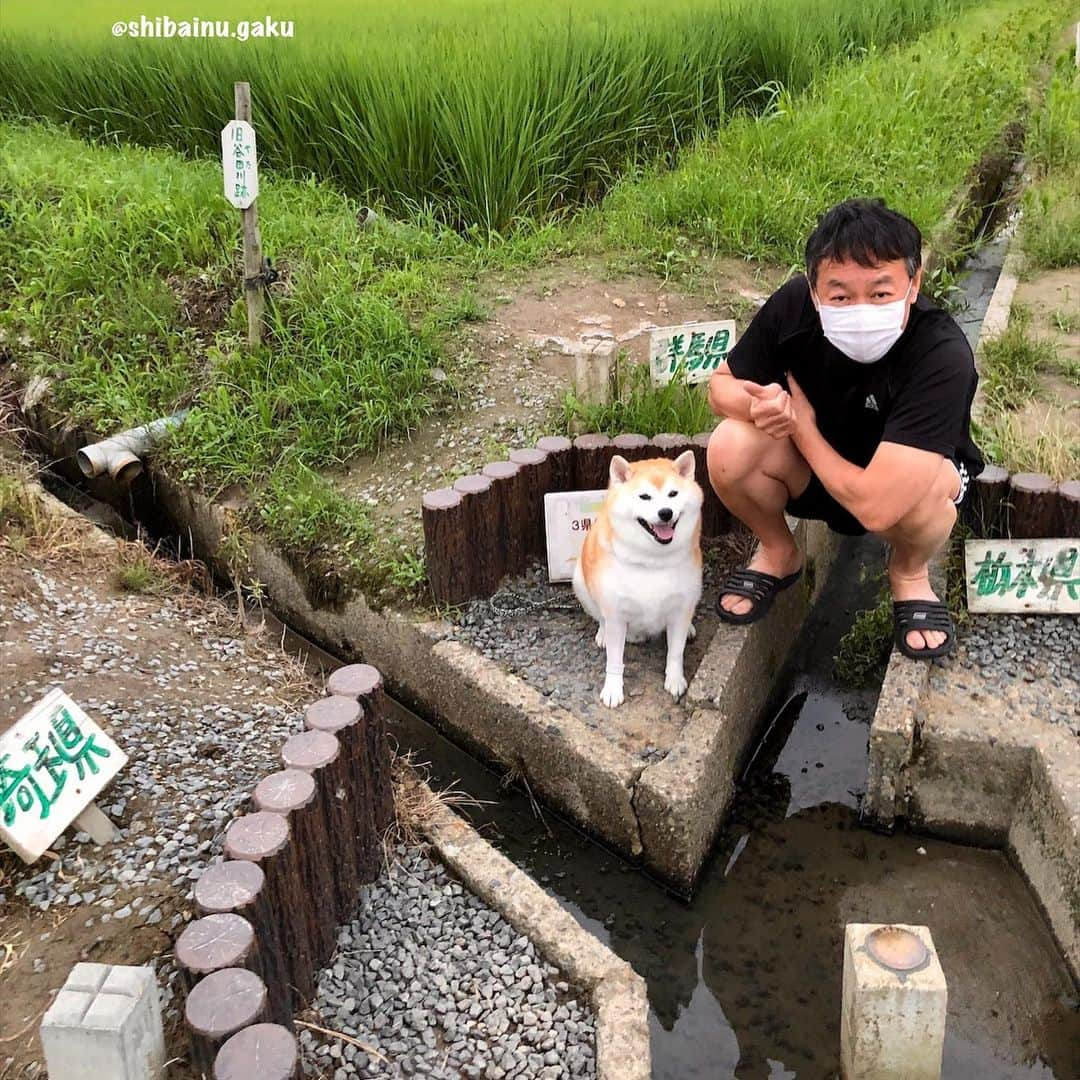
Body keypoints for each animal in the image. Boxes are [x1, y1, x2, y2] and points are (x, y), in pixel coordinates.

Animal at [570, 449, 704, 708]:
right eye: (645, 497)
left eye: (673, 494)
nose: (665, 512)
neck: (652, 562)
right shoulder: (616, 615)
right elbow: (614, 660)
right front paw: (613, 689)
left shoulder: (681, 608)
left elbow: (675, 652)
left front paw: (675, 680)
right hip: (580, 581)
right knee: (599, 616)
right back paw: (602, 633)